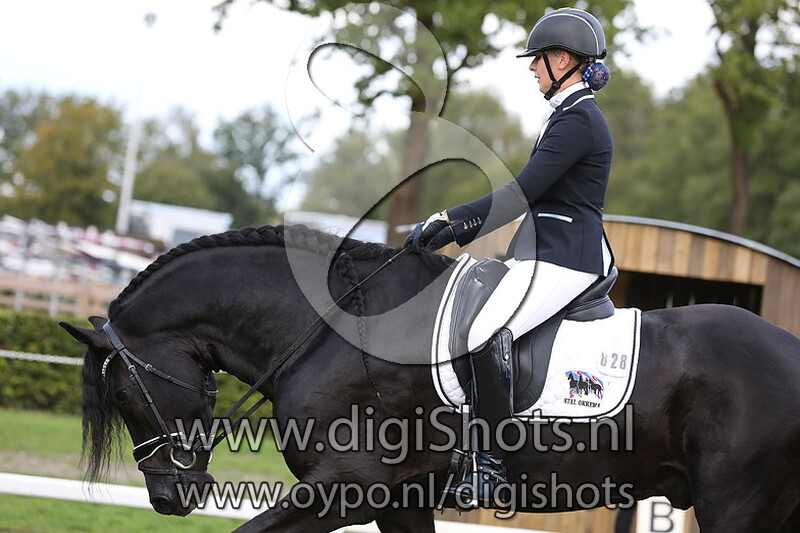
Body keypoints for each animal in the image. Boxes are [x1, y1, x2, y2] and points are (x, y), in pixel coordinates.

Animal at [60, 225, 800, 533]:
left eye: (125, 394)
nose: (169, 498)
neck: (331, 325)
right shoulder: (399, 500)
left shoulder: (346, 489)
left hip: (736, 505)